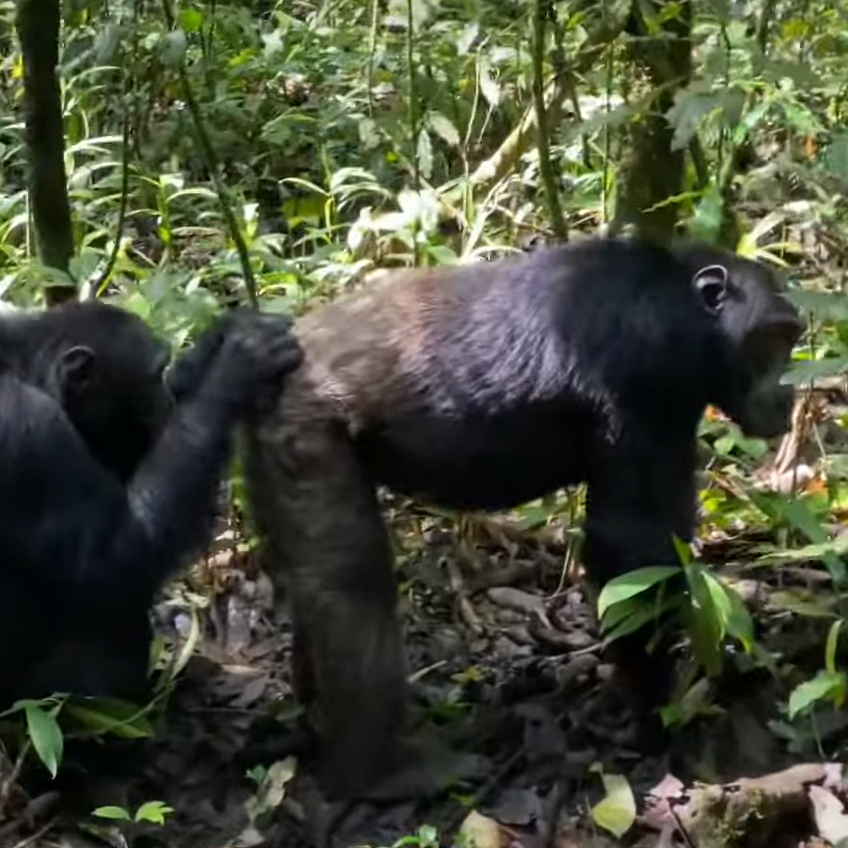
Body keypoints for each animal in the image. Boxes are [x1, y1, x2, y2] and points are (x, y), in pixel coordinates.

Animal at [0, 302, 304, 704]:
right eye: (154, 374)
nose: (166, 399)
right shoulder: (32, 432)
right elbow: (117, 556)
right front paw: (236, 366)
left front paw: (217, 340)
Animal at [242, 234, 804, 800]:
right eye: (773, 342)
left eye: (790, 340)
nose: (790, 391)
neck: (688, 307)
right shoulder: (651, 363)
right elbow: (630, 543)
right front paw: (654, 714)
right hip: (308, 429)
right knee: (353, 586)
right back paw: (378, 771)